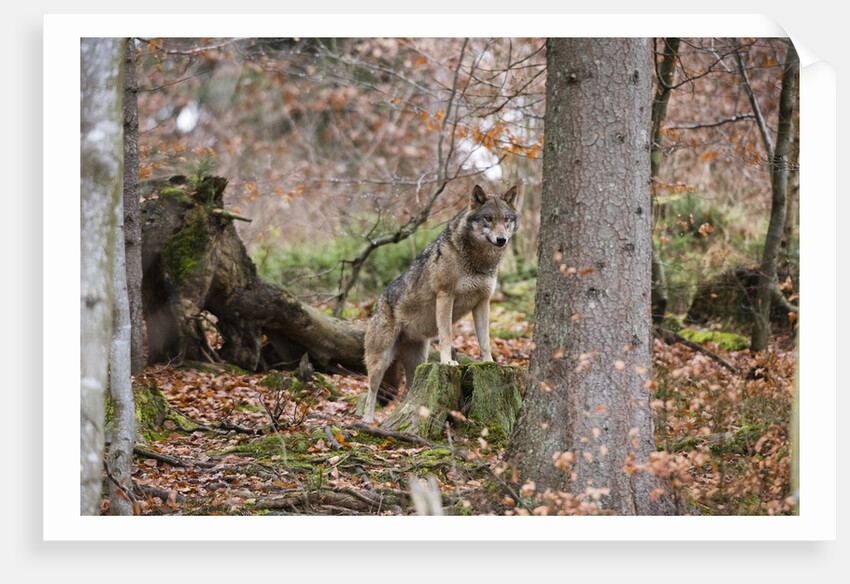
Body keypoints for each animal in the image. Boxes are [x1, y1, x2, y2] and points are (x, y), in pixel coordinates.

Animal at [362, 184, 519, 423]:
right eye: (489, 218)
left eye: (506, 219)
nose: (502, 240)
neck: (478, 261)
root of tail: (377, 304)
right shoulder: (446, 296)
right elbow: (446, 335)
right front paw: (447, 362)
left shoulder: (483, 302)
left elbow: (485, 341)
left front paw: (489, 362)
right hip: (381, 361)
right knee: (370, 392)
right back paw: (367, 422)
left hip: (418, 361)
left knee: (407, 393)